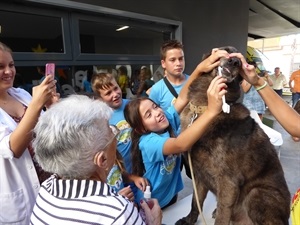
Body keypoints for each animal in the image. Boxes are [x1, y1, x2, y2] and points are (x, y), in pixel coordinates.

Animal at [176, 46, 290, 225]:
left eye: (241, 62)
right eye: (225, 52)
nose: (234, 62)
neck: (205, 108)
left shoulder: (228, 182)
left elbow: (222, 217)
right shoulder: (199, 176)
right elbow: (196, 203)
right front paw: (189, 220)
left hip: (256, 193)